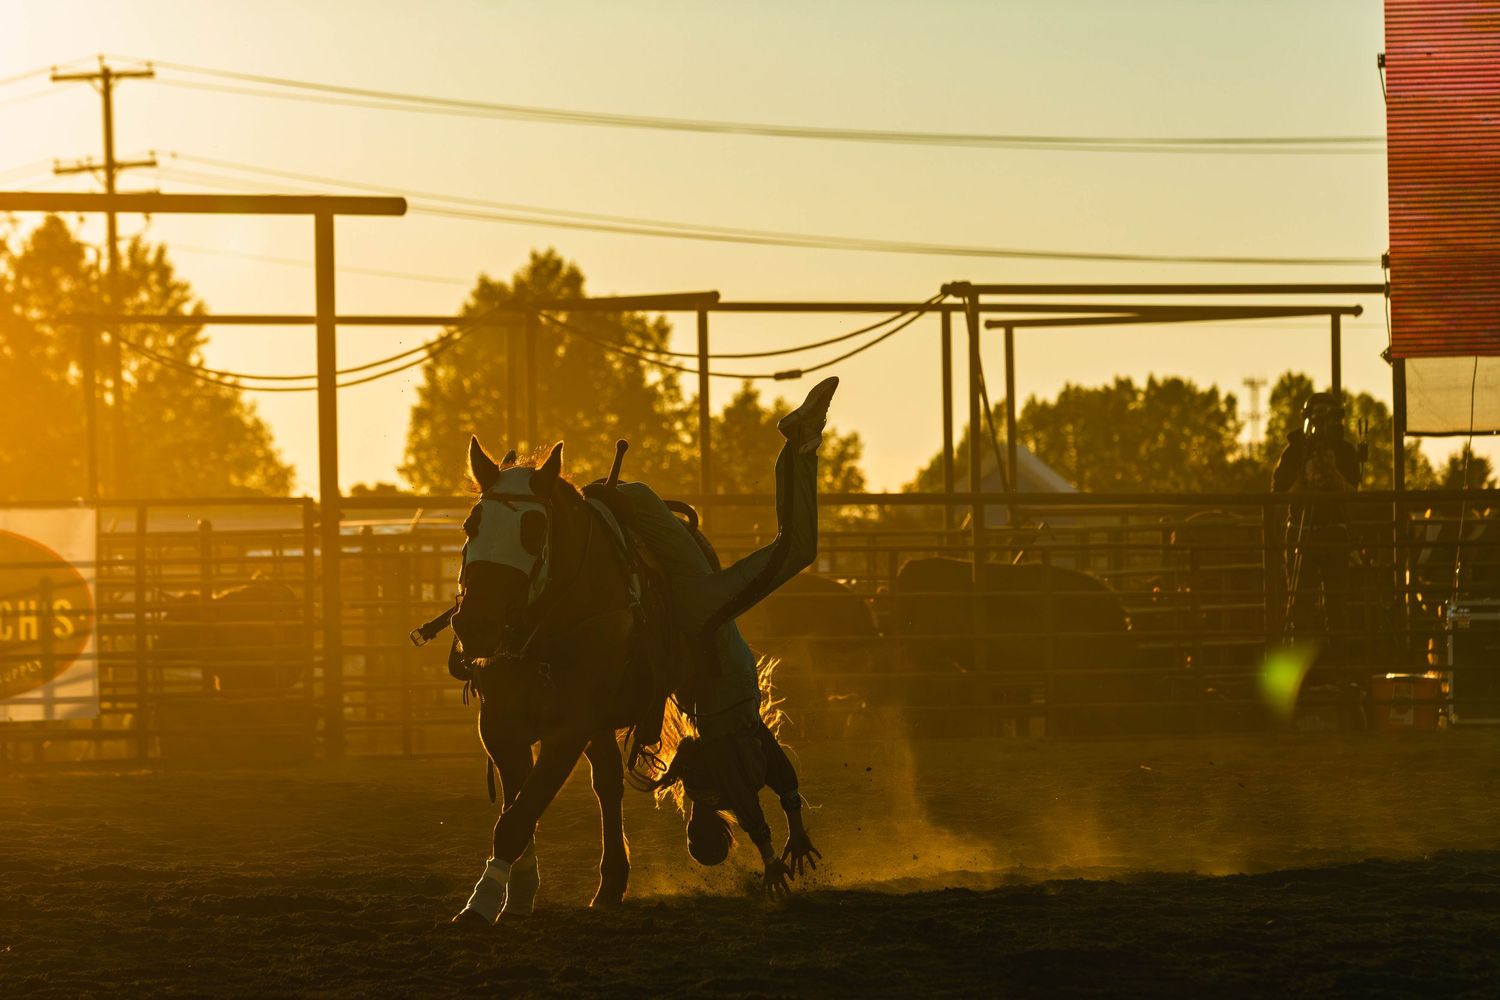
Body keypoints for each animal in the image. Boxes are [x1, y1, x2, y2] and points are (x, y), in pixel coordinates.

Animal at [449, 436, 672, 926]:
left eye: (534, 530)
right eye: (472, 524)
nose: (474, 624)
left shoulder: (568, 729)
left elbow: (518, 817)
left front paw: (483, 900)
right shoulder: (500, 727)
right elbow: (519, 808)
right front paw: (517, 894)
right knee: (607, 783)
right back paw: (611, 883)